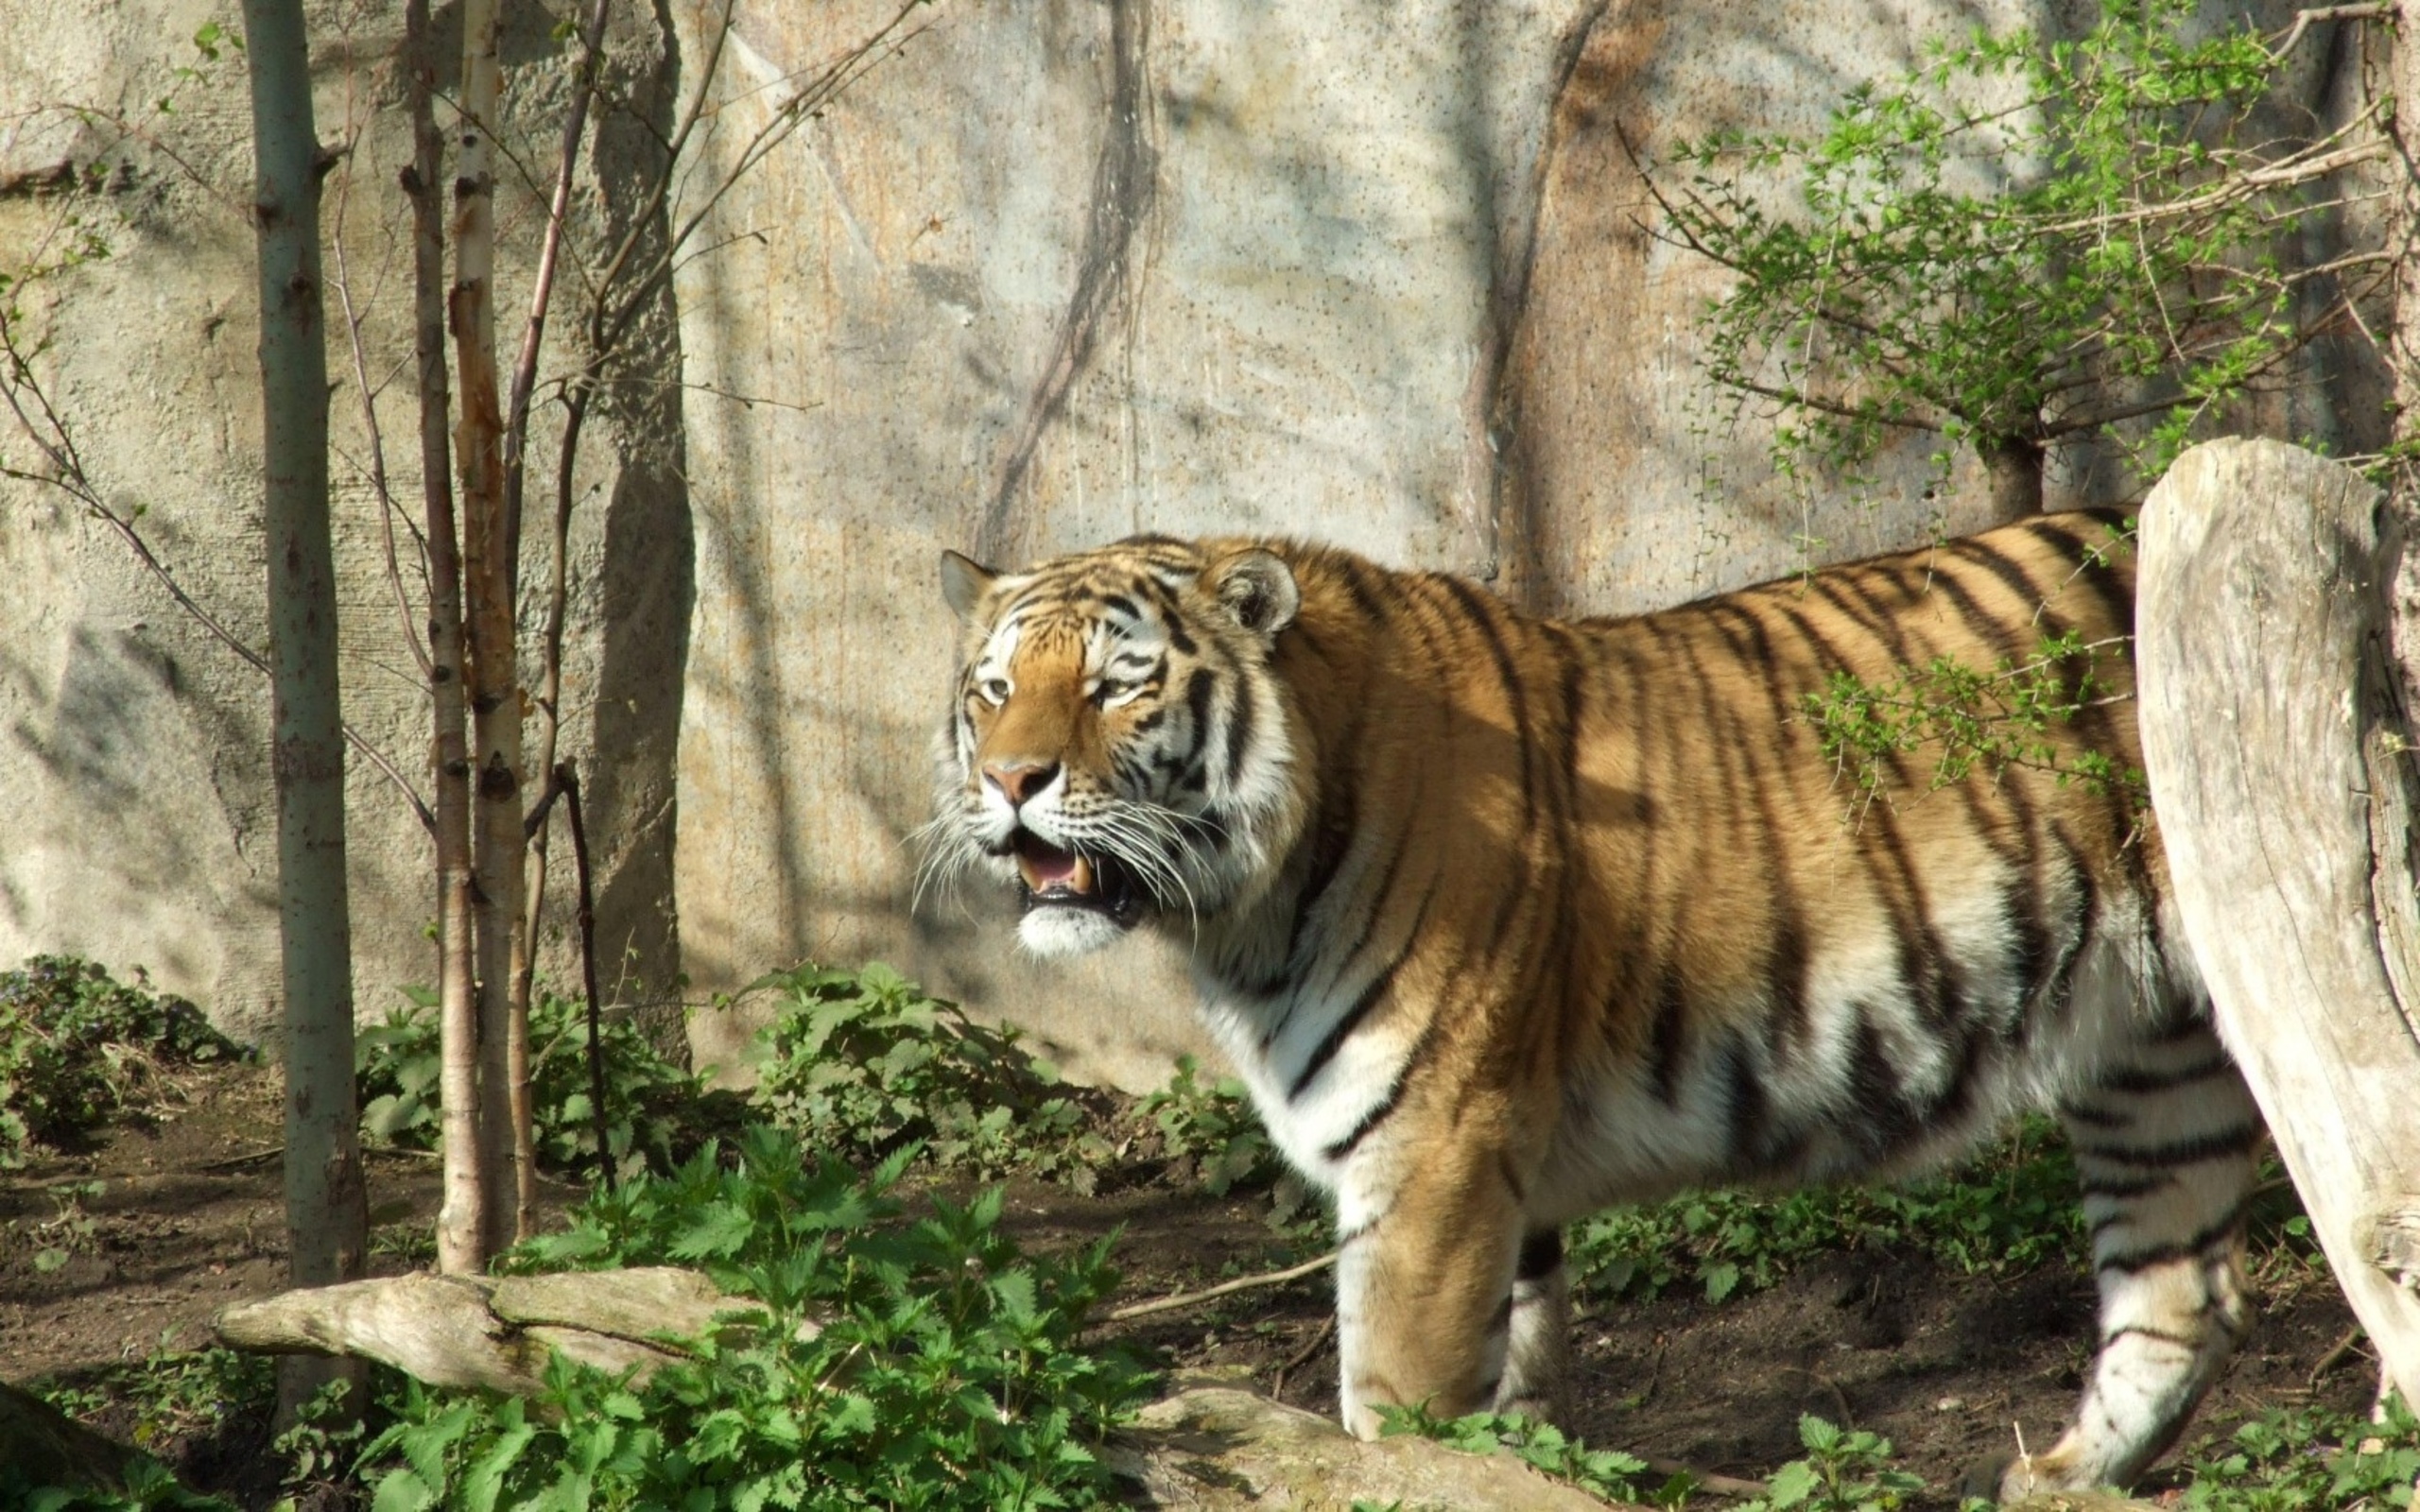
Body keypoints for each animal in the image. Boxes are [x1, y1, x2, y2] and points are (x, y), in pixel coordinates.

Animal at [924, 510, 2265, 1500]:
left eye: (1114, 688)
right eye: (991, 689)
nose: (1007, 779)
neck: (1242, 908)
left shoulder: (1431, 1153)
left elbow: (1394, 1415)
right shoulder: (1492, 1176)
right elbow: (1511, 1398)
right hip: (2152, 1064)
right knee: (2183, 1295)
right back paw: (2060, 1478)